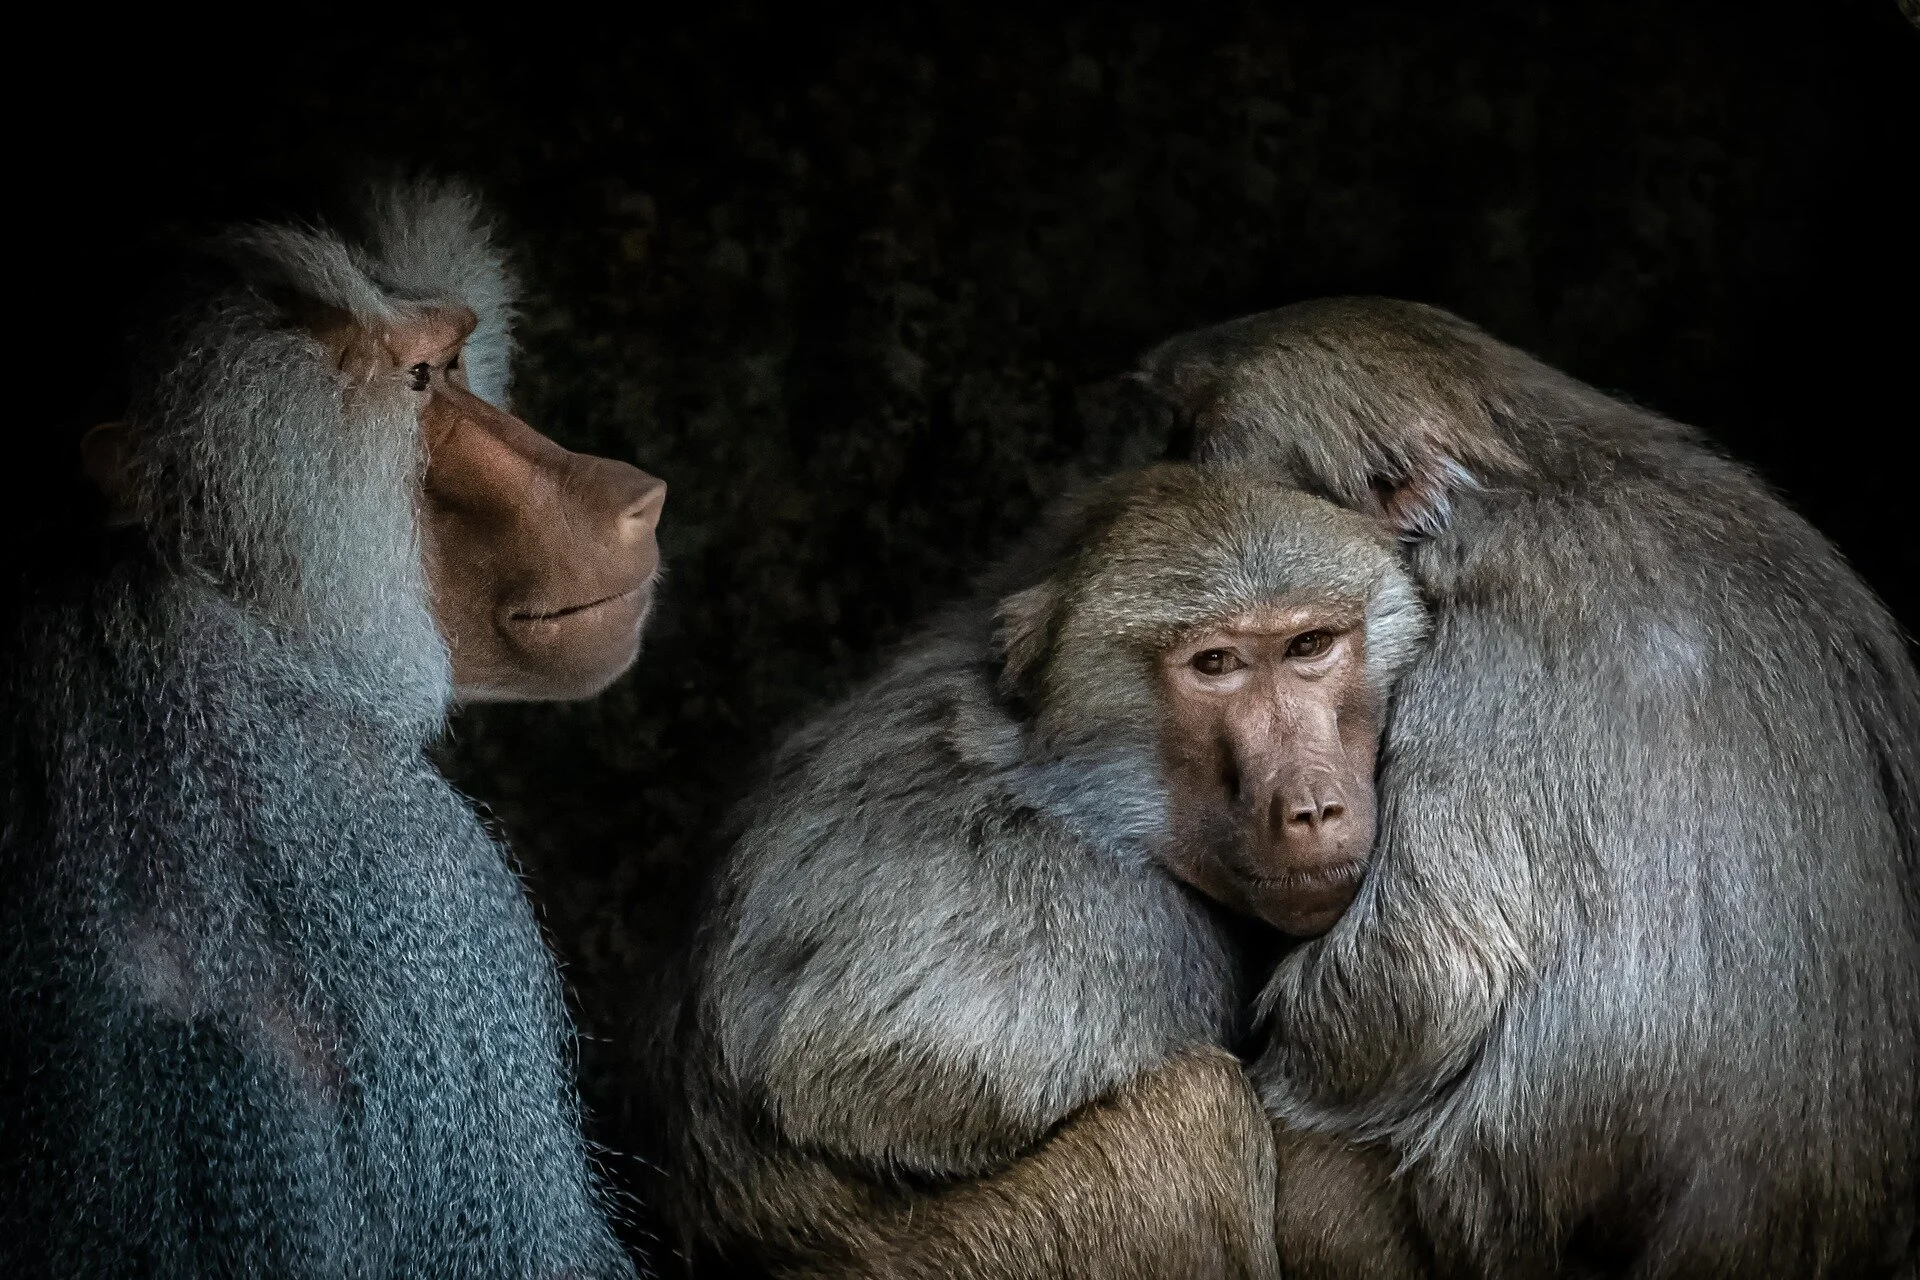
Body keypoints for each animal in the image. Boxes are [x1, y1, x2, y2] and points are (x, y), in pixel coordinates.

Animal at [671, 462, 1431, 1279]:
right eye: (1216, 664)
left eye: (1309, 645)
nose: (1312, 808)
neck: (1069, 781)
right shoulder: (1092, 916)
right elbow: (854, 1082)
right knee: (1196, 1117)